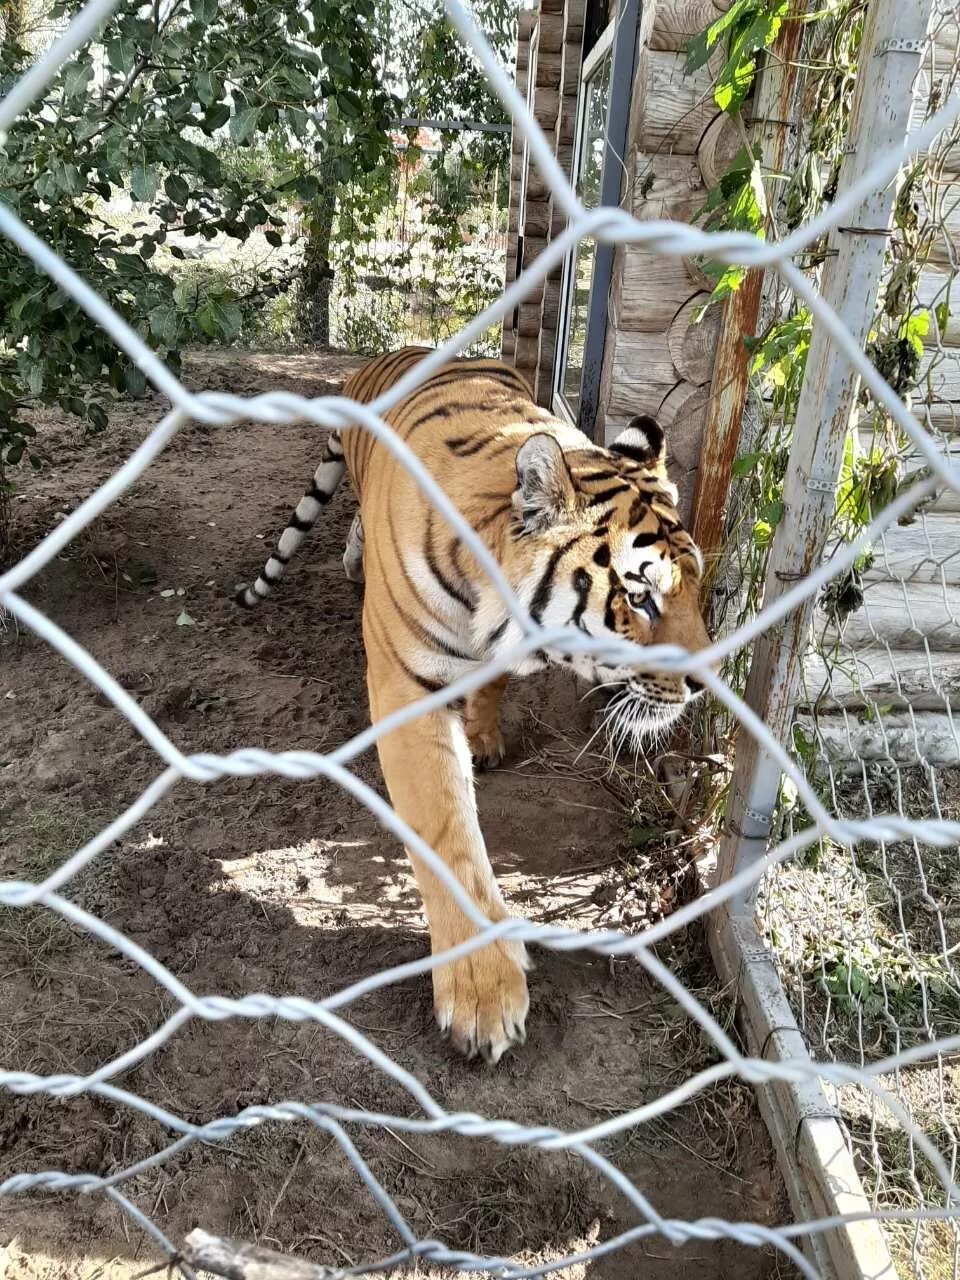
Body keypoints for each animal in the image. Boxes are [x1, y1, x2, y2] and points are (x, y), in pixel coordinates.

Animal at [235, 345, 716, 1064]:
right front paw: (483, 994)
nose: (706, 681)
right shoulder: (407, 689)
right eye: (639, 597)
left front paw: (485, 736)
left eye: (694, 585)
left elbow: (493, 684)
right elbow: (447, 833)